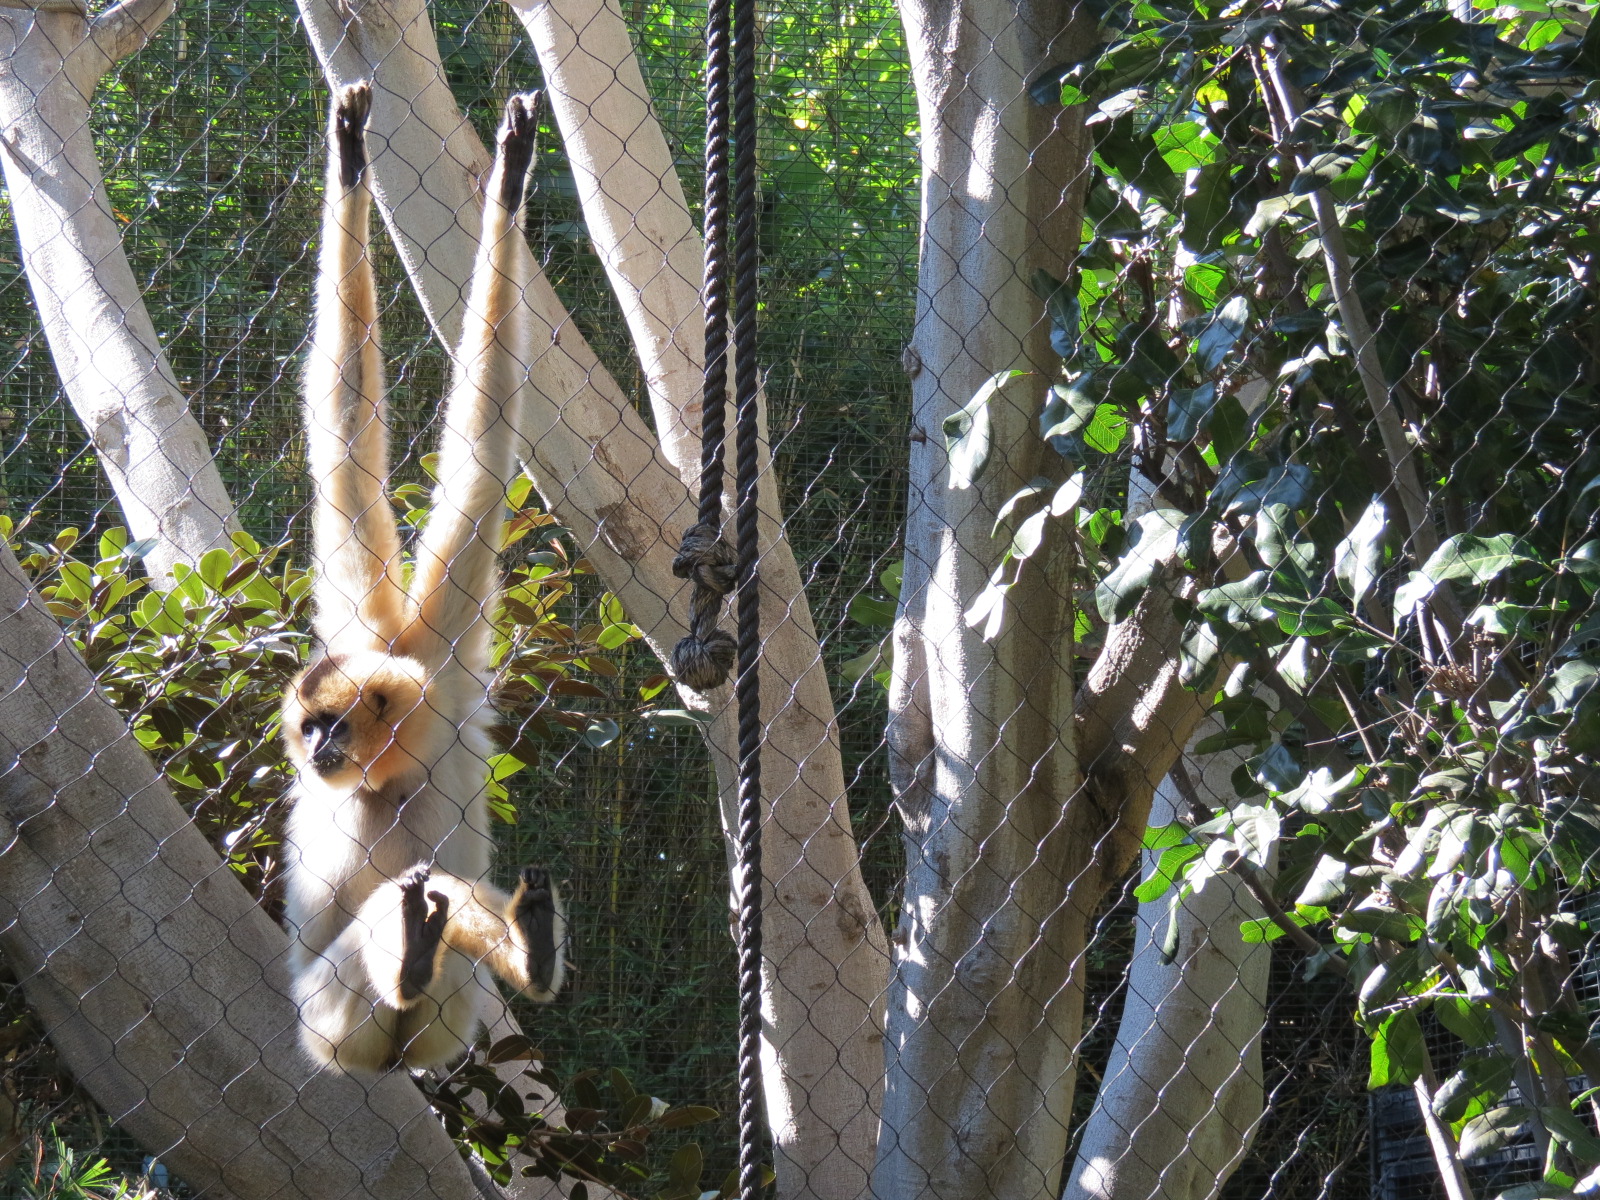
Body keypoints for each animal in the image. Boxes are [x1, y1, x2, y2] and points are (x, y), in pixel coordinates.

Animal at [278, 82, 565, 1075]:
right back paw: (407, 958)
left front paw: (506, 184)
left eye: (330, 726)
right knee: (379, 923)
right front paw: (350, 160)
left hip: (453, 1017)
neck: (390, 768)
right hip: (329, 1026)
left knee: (447, 915)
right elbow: (344, 439)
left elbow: (478, 462)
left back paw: (521, 950)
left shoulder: (437, 654)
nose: (319, 750)